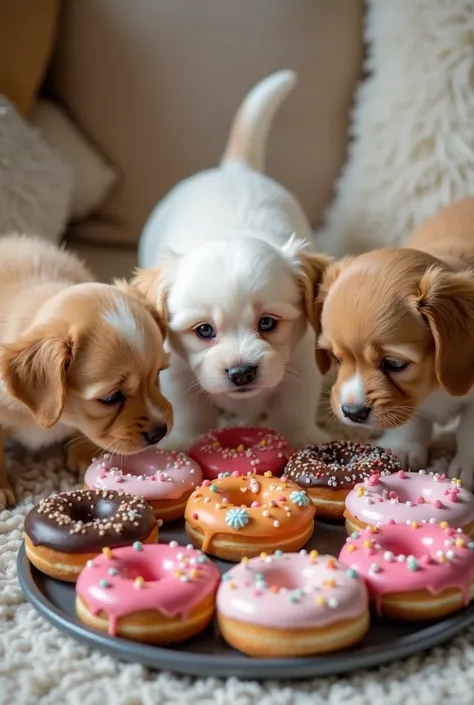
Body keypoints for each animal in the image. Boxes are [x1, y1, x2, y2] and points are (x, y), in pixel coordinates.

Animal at [134, 70, 330, 446]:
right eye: (204, 330)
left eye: (267, 323)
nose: (241, 372)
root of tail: (233, 167)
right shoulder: (178, 372)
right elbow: (190, 413)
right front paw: (181, 442)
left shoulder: (301, 363)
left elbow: (294, 411)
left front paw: (303, 440)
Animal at [316, 198, 474, 484]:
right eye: (336, 358)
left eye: (394, 364)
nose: (352, 413)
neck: (436, 388)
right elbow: (411, 422)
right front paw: (403, 448)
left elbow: (470, 432)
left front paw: (467, 467)